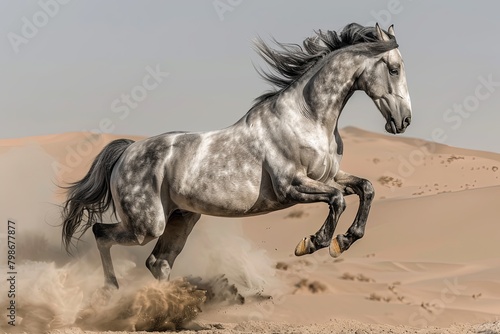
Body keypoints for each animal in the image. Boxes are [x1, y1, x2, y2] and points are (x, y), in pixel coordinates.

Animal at [61, 23, 410, 290]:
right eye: (394, 69)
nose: (404, 121)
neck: (307, 118)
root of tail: (125, 152)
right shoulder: (292, 186)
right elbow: (337, 200)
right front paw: (313, 243)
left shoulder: (330, 176)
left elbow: (366, 188)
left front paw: (345, 240)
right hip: (146, 225)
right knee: (101, 234)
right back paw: (112, 290)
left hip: (181, 217)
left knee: (159, 262)